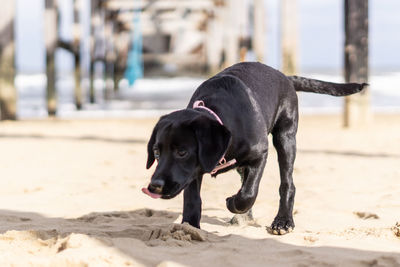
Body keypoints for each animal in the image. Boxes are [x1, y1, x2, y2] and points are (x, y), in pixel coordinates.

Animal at [143, 62, 366, 234]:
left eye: (182, 152)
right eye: (156, 152)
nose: (155, 185)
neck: (220, 115)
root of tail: (284, 76)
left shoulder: (259, 154)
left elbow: (248, 193)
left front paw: (232, 203)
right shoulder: (194, 171)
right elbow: (192, 199)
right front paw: (189, 227)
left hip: (285, 138)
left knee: (287, 183)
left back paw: (283, 221)